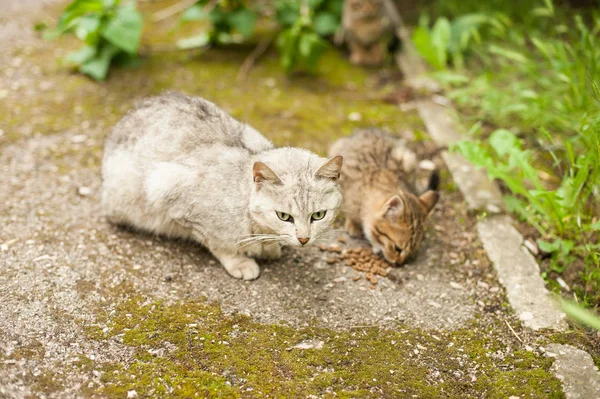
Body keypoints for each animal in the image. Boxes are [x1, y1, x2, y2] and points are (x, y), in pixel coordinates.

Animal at [102, 93, 342, 282]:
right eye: (284, 216)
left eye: (318, 215)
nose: (304, 239)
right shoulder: (170, 193)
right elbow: (218, 242)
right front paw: (240, 261)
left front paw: (269, 247)